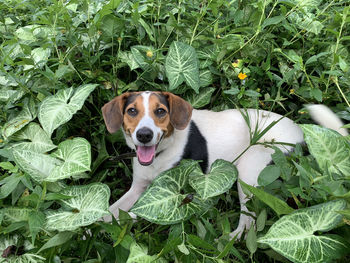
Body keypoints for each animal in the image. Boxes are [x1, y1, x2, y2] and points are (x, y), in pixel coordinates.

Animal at [101, 91, 348, 239]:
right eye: (132, 111)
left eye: (160, 111)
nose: (144, 135)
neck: (161, 154)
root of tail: (302, 133)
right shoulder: (139, 187)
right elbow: (111, 210)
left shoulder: (180, 195)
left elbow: (133, 213)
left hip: (249, 173)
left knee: (248, 222)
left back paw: (229, 239)